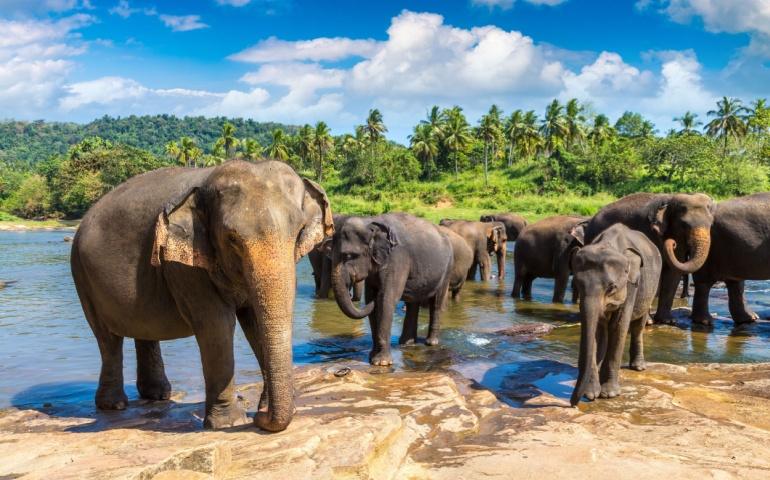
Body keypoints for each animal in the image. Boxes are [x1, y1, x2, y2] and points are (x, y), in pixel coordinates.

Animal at [70, 160, 333, 432]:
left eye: (300, 231)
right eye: (232, 238)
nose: (260, 418)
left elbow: (255, 323)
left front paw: (262, 410)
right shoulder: (184, 264)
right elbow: (216, 324)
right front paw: (231, 422)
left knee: (143, 330)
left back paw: (157, 395)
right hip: (81, 274)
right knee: (107, 338)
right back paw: (114, 405)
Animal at [331, 213, 454, 366]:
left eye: (348, 255)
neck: (370, 222)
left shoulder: (396, 257)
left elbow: (386, 299)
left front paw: (381, 362)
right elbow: (372, 299)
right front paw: (372, 357)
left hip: (448, 268)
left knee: (436, 303)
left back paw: (431, 343)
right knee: (413, 304)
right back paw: (406, 343)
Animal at [570, 223, 662, 406]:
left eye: (611, 287)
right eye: (576, 283)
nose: (572, 403)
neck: (609, 244)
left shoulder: (632, 285)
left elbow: (619, 326)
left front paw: (609, 394)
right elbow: (596, 329)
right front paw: (591, 394)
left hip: (650, 287)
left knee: (638, 326)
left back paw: (638, 367)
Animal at [582, 192, 715, 324]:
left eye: (711, 225)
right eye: (684, 225)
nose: (672, 243)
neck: (670, 199)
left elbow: (673, 272)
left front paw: (667, 321)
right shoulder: (649, 231)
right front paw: (649, 322)